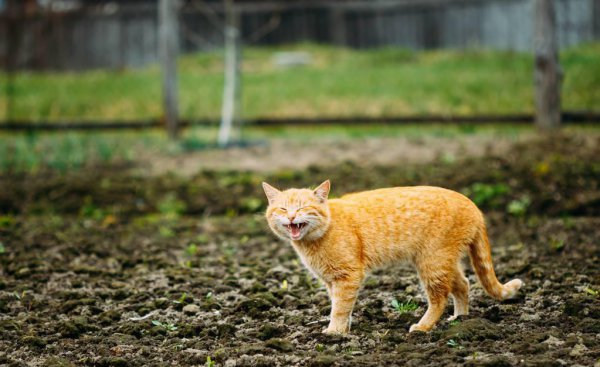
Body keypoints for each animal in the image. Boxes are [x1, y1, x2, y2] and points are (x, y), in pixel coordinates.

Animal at [262, 182, 520, 336]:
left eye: (303, 207)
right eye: (283, 209)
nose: (292, 216)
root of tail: (472, 204)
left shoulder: (348, 276)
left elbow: (340, 308)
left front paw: (334, 333)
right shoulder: (330, 281)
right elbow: (340, 305)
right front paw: (344, 330)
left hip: (432, 262)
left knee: (439, 298)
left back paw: (423, 327)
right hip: (442, 260)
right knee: (463, 284)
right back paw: (460, 318)